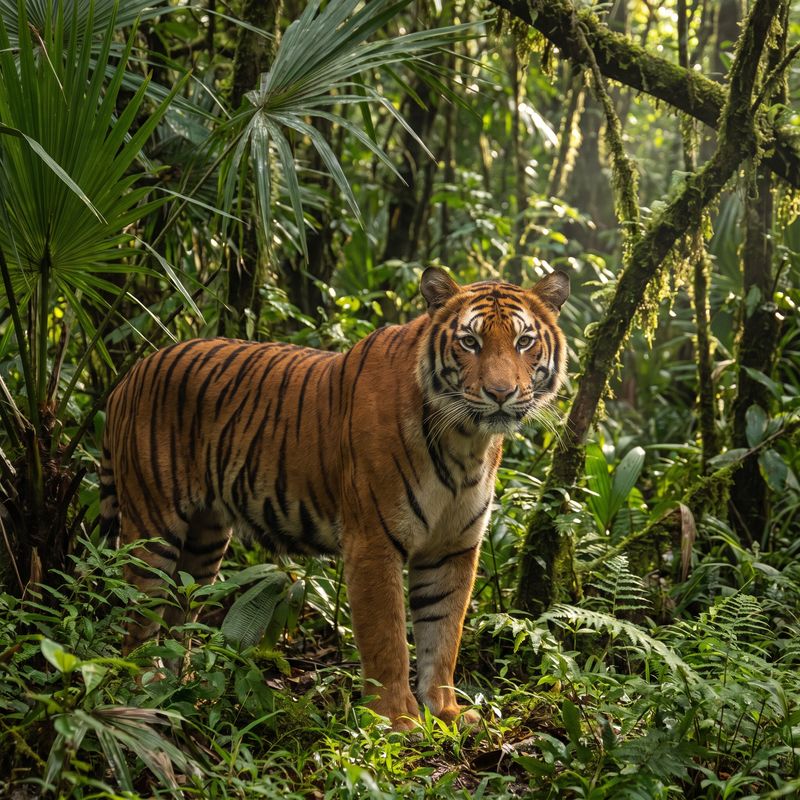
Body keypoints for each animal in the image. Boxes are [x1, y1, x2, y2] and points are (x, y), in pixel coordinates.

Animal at [99, 267, 569, 730]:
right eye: (470, 342)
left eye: (523, 342)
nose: (500, 393)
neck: (466, 441)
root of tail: (129, 376)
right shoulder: (374, 542)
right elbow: (387, 638)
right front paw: (398, 719)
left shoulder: (452, 547)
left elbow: (443, 634)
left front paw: (445, 712)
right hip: (152, 530)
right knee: (136, 618)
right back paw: (140, 693)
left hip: (204, 541)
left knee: (179, 613)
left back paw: (180, 691)